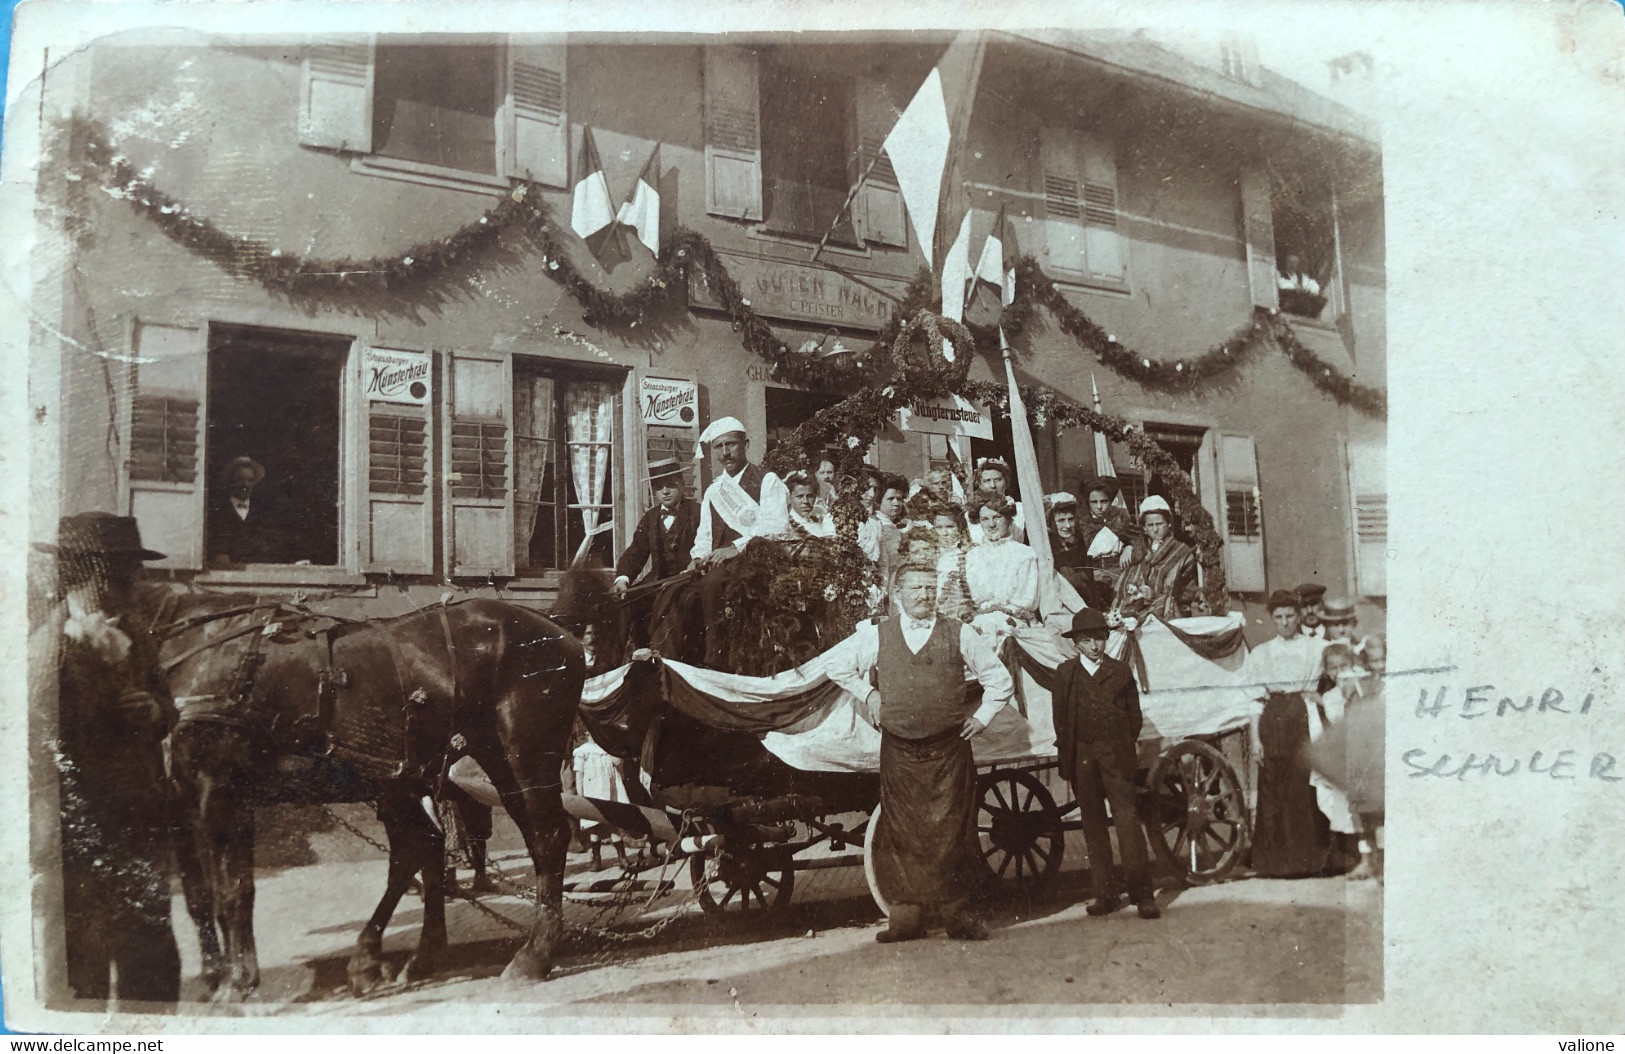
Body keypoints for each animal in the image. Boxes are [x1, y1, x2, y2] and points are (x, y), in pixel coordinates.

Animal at [152, 591, 585, 993]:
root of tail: (558, 630)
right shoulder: (183, 801)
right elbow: (199, 895)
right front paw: (216, 976)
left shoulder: (219, 790)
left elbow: (232, 890)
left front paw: (239, 980)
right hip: (478, 766)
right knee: (450, 846)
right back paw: (408, 958)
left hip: (527, 756)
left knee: (548, 838)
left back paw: (533, 956)